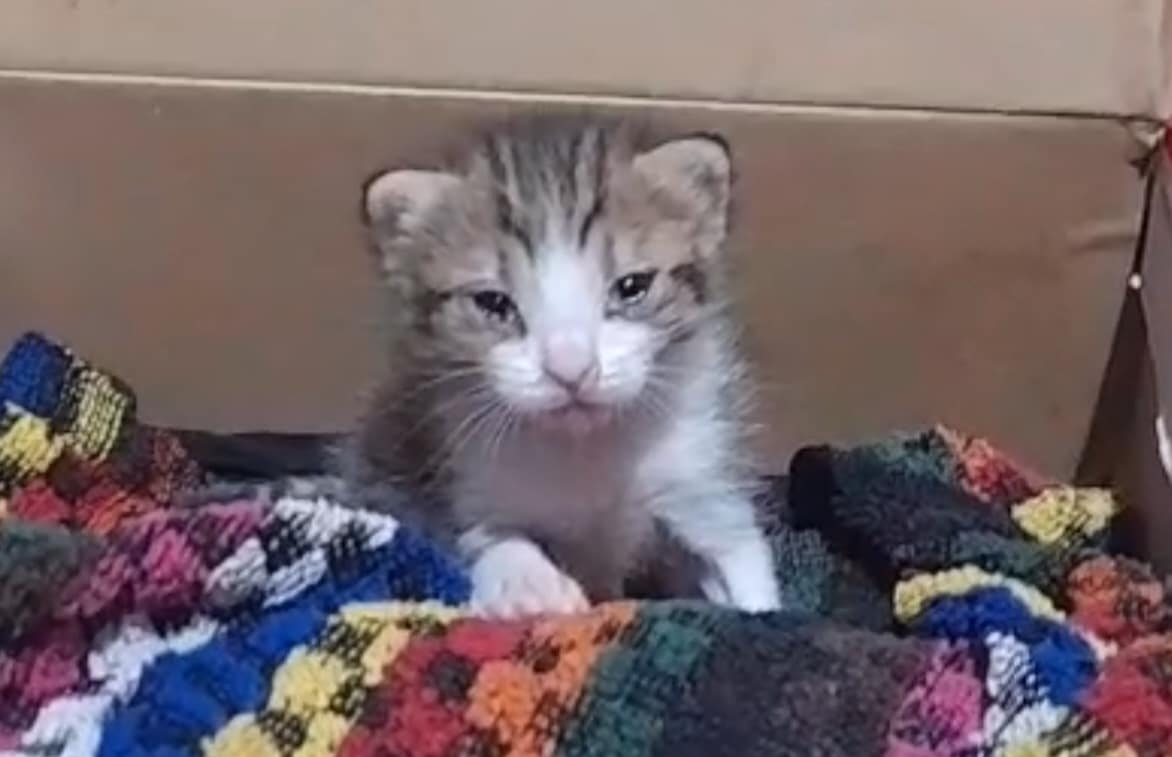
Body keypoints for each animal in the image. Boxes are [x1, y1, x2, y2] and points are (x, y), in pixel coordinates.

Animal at [343, 118, 781, 618]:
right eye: (493, 302)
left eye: (632, 286)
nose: (571, 370)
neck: (585, 450)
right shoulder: (445, 474)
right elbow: (475, 536)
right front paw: (526, 584)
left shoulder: (702, 474)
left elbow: (739, 553)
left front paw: (760, 610)